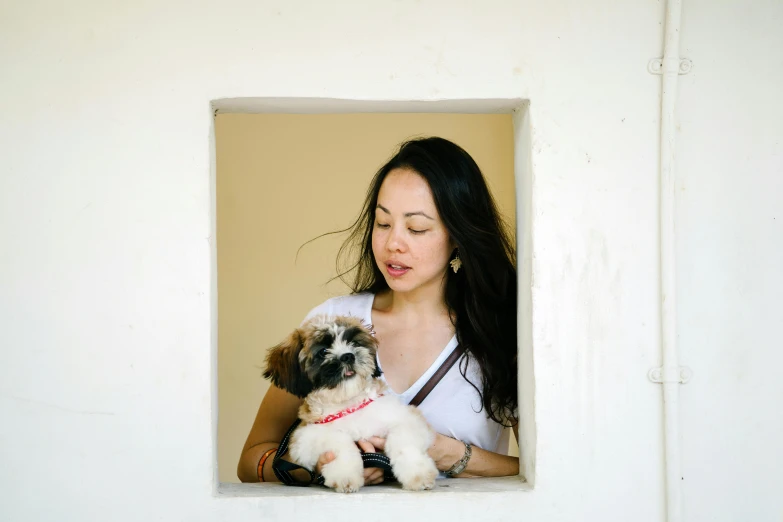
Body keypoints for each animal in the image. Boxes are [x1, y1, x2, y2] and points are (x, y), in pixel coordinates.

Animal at [264, 312, 440, 492]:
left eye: (354, 343)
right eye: (323, 351)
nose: (348, 355)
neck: (348, 403)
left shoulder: (408, 418)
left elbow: (403, 441)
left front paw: (417, 473)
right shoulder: (304, 439)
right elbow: (339, 440)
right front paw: (345, 474)